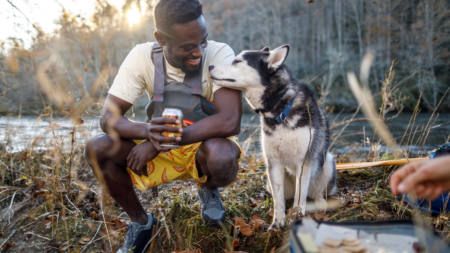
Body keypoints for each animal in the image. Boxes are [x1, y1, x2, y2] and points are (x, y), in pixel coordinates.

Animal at [209, 45, 336, 231]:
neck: (281, 110)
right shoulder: (273, 162)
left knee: (316, 193)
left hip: (328, 162)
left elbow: (300, 195)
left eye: (237, 61)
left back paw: (320, 202)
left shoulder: (304, 161)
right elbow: (278, 200)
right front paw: (277, 223)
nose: (209, 66)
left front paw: (297, 215)